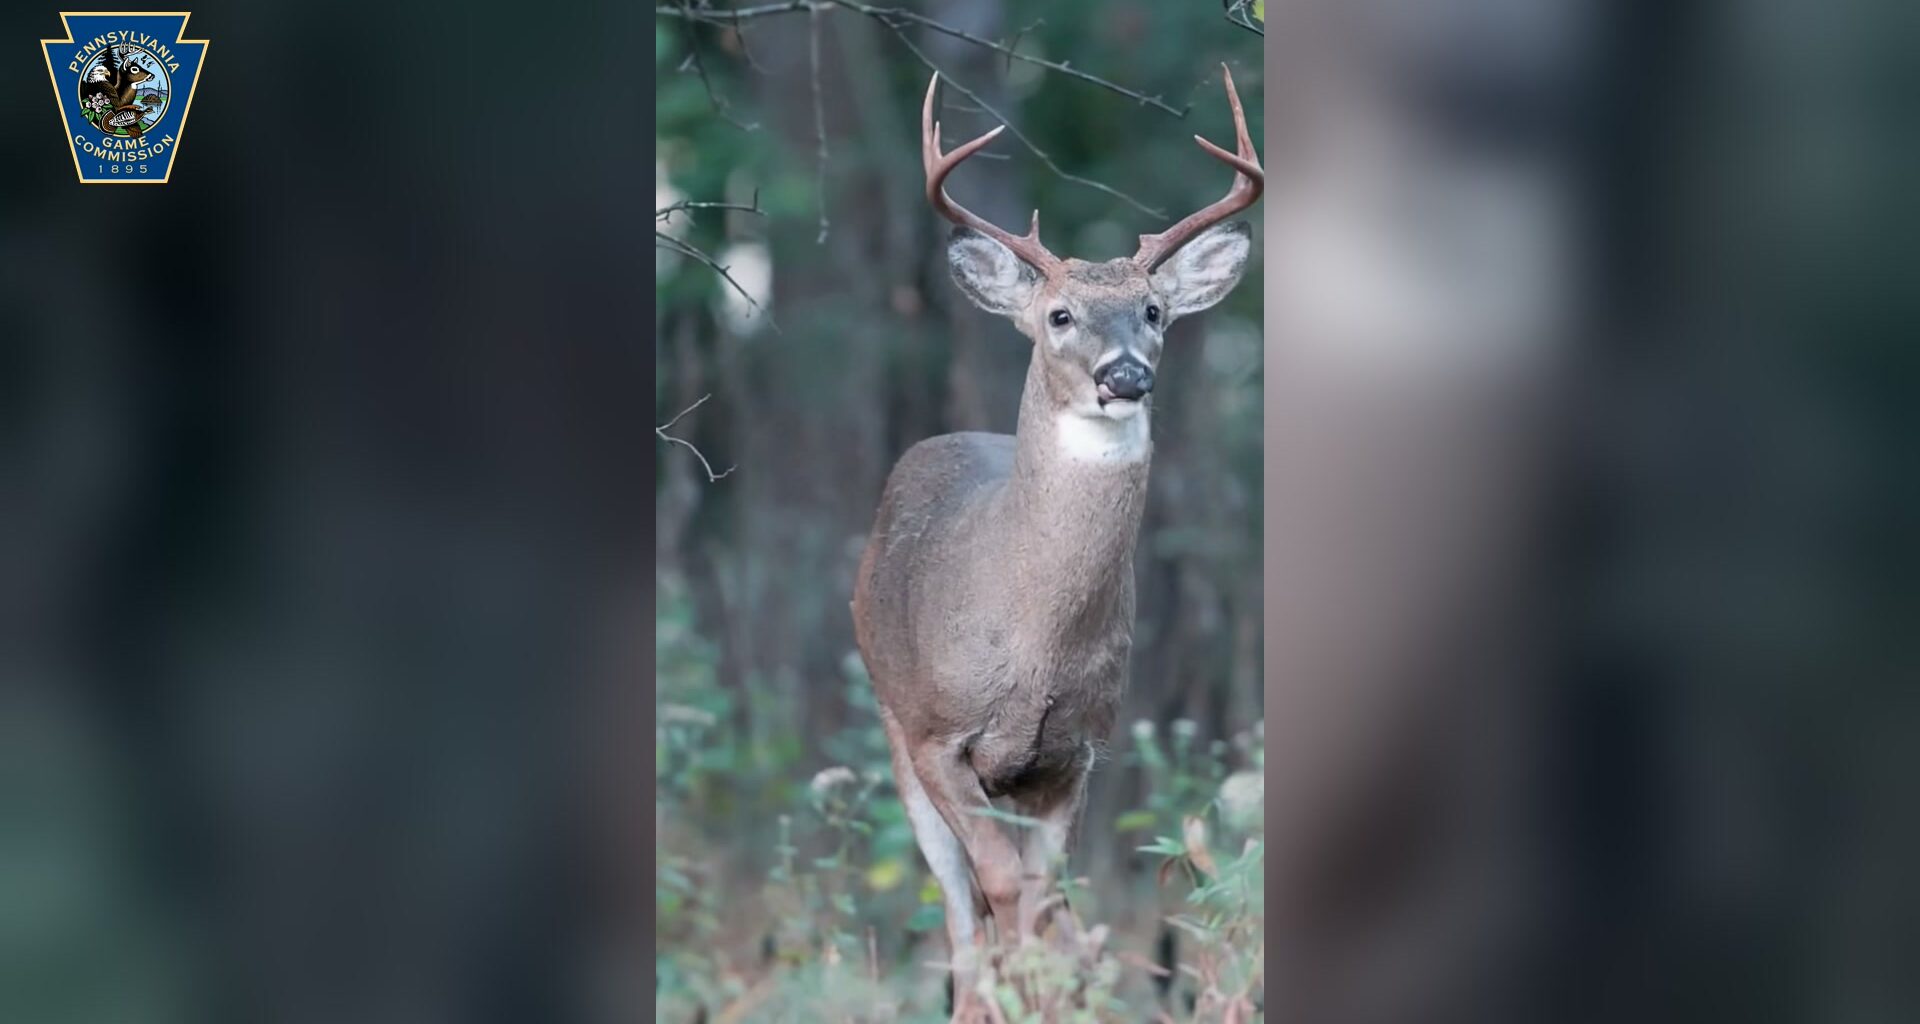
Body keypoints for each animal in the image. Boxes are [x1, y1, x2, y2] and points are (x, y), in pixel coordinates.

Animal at [850, 65, 1263, 1019]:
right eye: (1061, 315)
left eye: (1154, 311)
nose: (1126, 376)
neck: (1032, 638)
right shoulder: (938, 735)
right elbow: (999, 892)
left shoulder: (1075, 749)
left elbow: (1041, 902)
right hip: (892, 723)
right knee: (961, 918)